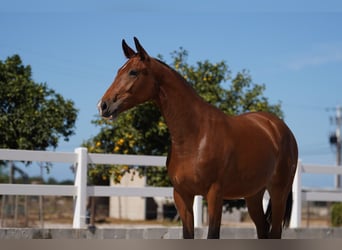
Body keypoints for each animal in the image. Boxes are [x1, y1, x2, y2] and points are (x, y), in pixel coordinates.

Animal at [97, 37, 298, 238]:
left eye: (133, 72)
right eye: (119, 71)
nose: (103, 105)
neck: (195, 136)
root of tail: (280, 128)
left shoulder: (215, 195)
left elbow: (213, 234)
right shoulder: (182, 195)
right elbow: (188, 234)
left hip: (278, 192)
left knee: (275, 231)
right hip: (253, 194)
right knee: (262, 229)